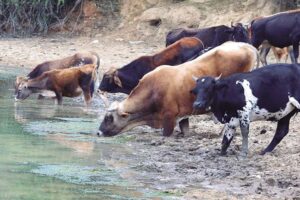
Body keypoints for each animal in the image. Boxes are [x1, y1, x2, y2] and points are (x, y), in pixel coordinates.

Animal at [99, 41, 258, 137]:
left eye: (109, 118)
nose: (98, 132)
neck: (152, 90)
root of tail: (247, 46)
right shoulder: (184, 116)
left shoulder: (169, 118)